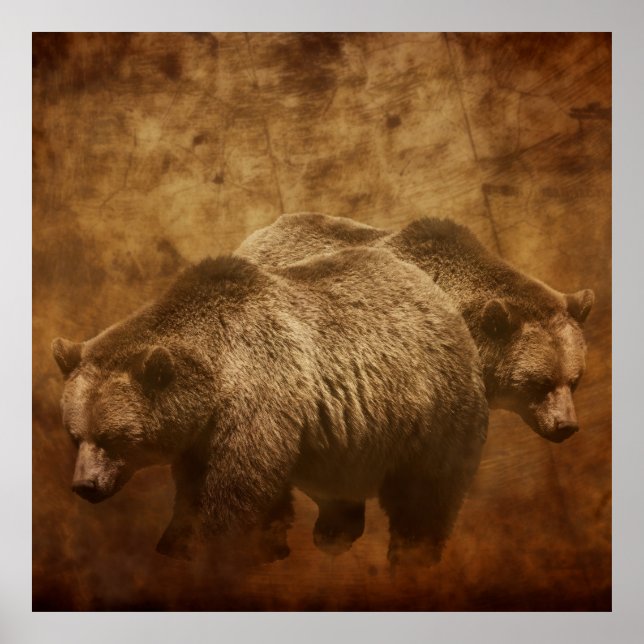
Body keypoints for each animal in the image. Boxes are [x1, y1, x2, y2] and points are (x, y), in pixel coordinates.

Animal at [52, 248, 488, 566]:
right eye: (75, 436)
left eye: (113, 438)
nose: (85, 486)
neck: (214, 379)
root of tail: (434, 292)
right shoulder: (200, 434)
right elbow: (194, 489)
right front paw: (176, 541)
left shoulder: (257, 396)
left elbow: (237, 487)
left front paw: (220, 548)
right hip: (347, 438)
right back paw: (333, 533)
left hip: (432, 406)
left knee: (427, 489)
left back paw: (413, 550)